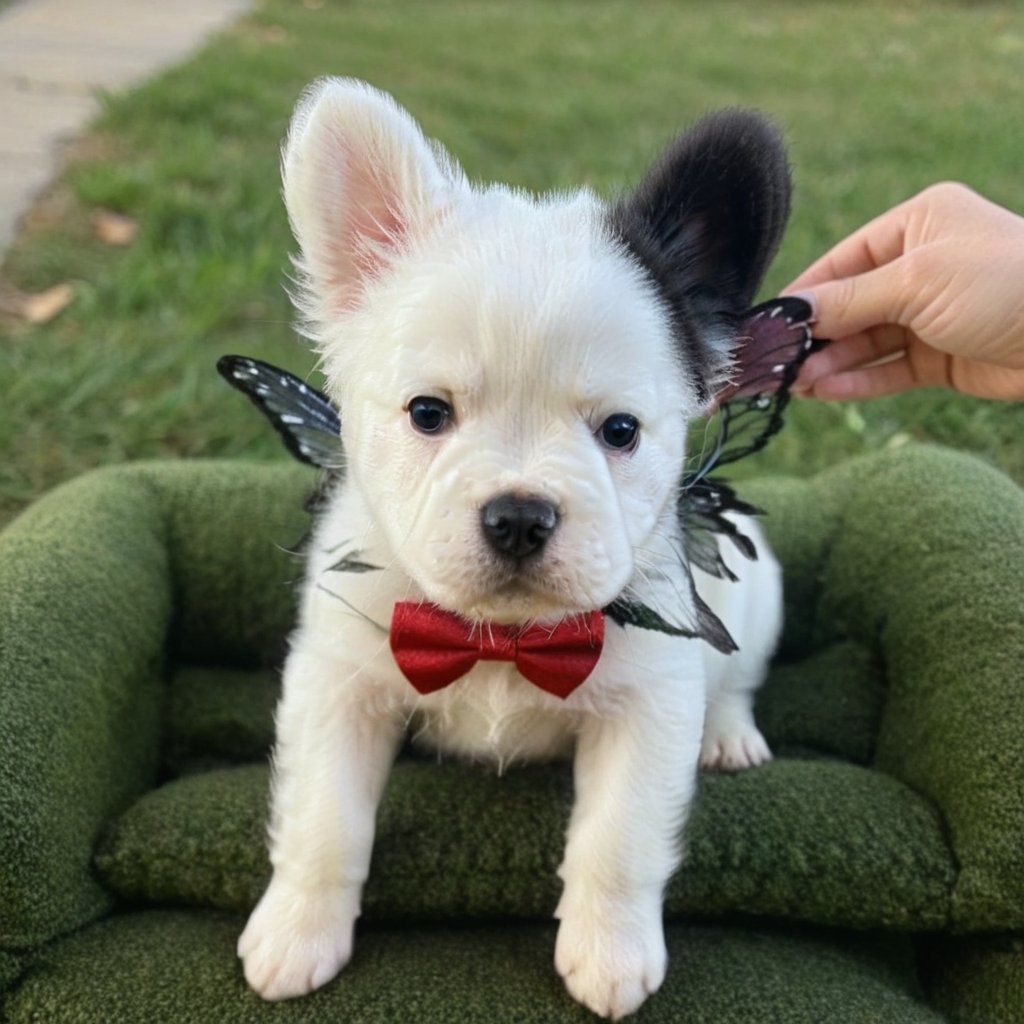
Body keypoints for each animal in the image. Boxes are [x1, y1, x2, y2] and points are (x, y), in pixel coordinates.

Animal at [237, 77, 782, 1015]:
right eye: (428, 413)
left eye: (621, 431)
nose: (520, 515)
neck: (502, 637)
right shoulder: (338, 687)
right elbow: (324, 823)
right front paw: (298, 929)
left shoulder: (647, 708)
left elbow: (618, 841)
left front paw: (609, 951)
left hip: (756, 594)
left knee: (737, 679)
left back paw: (730, 735)